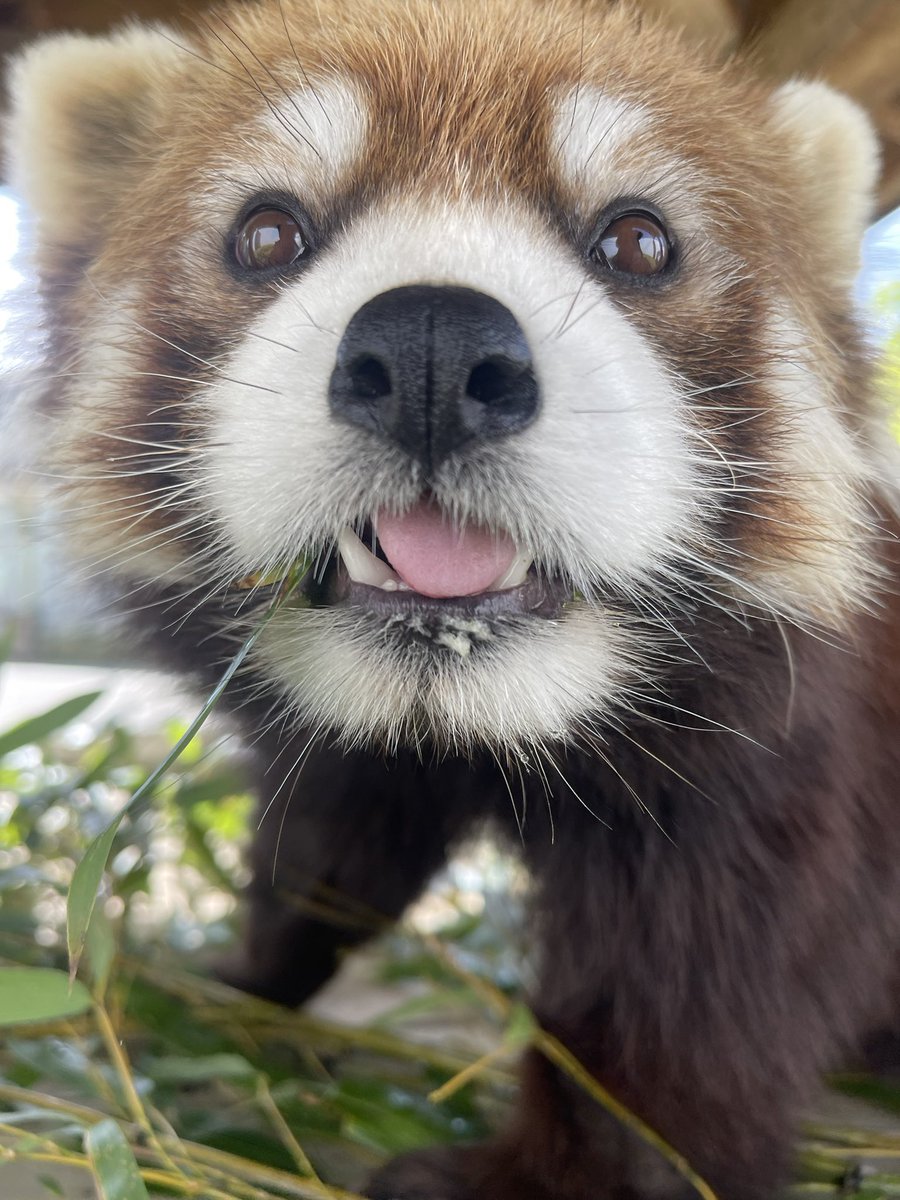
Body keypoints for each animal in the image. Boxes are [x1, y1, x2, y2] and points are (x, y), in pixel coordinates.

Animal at [7, 2, 900, 1200]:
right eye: (267, 233)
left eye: (638, 242)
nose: (433, 345)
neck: (484, 718)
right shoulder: (356, 752)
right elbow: (329, 849)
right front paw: (229, 979)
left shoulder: (791, 755)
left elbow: (704, 989)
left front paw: (575, 1169)